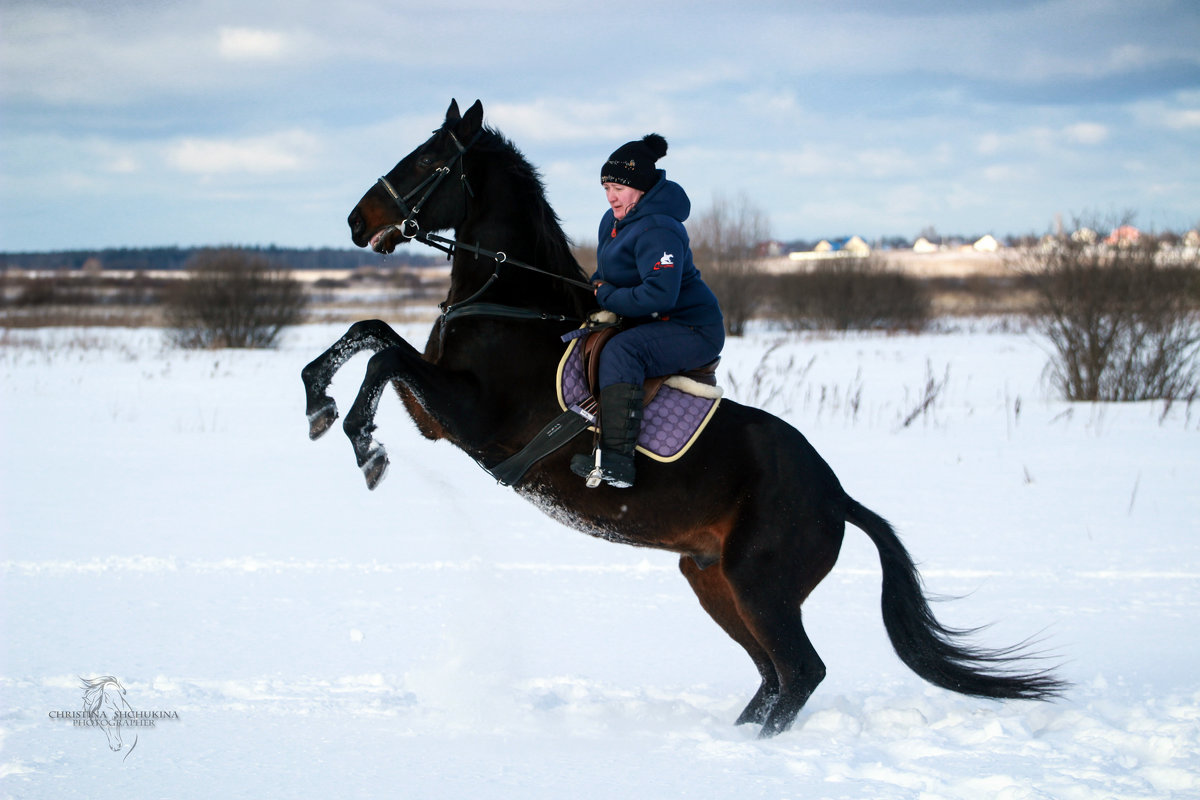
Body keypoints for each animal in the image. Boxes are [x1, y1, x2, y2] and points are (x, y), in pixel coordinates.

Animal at [302, 100, 1070, 738]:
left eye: (427, 162)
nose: (358, 222)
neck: (512, 300)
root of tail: (839, 497)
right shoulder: (438, 414)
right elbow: (370, 335)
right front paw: (319, 403)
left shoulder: (469, 415)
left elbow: (382, 353)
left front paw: (361, 442)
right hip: (714, 582)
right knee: (772, 676)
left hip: (761, 587)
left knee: (800, 672)